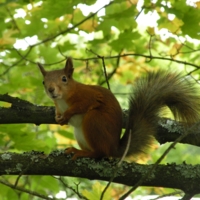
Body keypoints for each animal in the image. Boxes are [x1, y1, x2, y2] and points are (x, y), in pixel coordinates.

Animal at [37, 57, 200, 159]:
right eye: (43, 82)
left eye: (64, 79)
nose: (51, 90)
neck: (62, 99)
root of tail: (114, 148)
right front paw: (59, 117)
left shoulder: (89, 96)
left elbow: (82, 105)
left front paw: (67, 114)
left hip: (94, 121)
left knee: (101, 153)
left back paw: (85, 153)